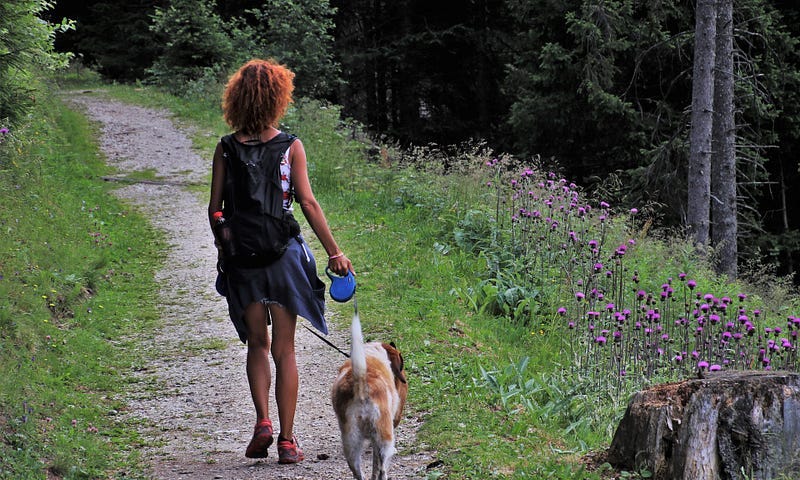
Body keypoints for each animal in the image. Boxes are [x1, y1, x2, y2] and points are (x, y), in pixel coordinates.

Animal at [330, 316, 406, 480]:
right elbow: (377, 465)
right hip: (384, 437)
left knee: (357, 470)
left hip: (350, 442)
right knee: (382, 468)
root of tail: (361, 384)